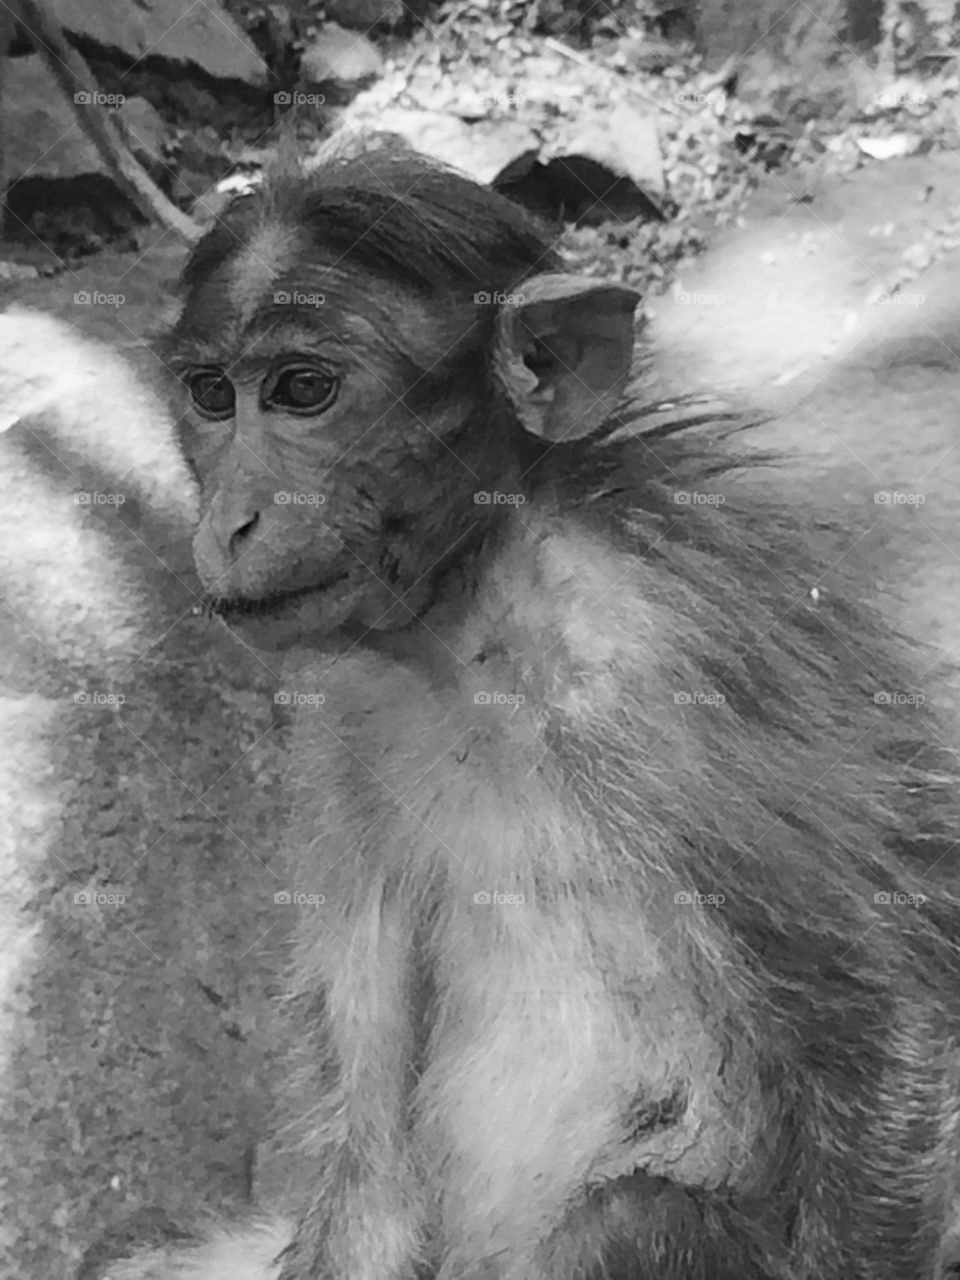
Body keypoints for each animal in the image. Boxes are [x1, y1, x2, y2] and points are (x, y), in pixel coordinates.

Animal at [34, 138, 960, 1278]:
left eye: (303, 390)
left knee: (631, 1215)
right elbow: (370, 1155)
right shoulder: (350, 729)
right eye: (214, 398)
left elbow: (893, 999)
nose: (231, 518)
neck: (475, 616)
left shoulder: (664, 643)